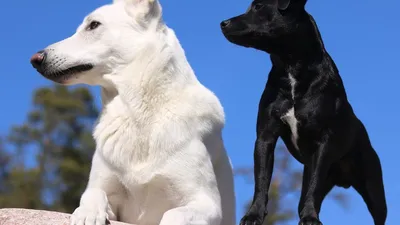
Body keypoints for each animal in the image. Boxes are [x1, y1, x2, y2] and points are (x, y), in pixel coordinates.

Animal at [29, 0, 236, 225]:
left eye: (93, 25)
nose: (35, 59)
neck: (137, 113)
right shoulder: (106, 191)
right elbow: (92, 195)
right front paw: (86, 214)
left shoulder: (206, 203)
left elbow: (174, 214)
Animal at [222, 0, 388, 225]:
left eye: (258, 7)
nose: (223, 23)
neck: (290, 68)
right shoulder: (265, 138)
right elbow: (262, 180)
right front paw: (253, 215)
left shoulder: (323, 143)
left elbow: (314, 184)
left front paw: (310, 218)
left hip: (373, 187)